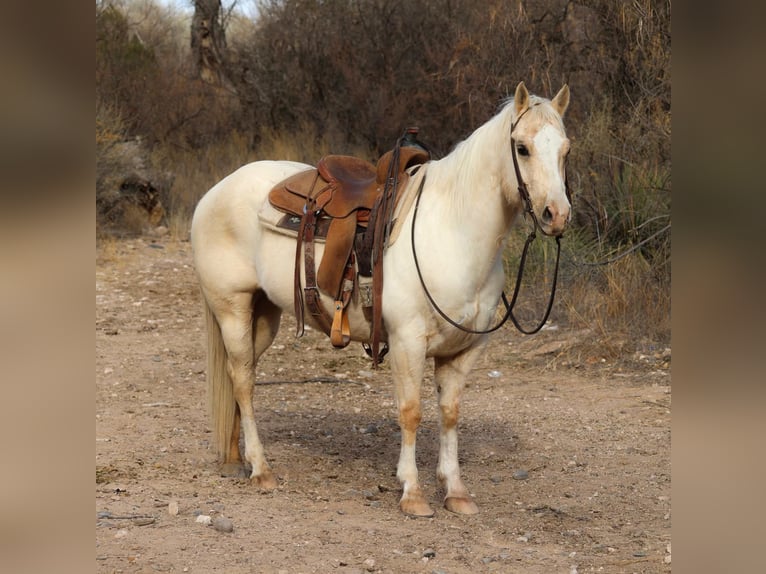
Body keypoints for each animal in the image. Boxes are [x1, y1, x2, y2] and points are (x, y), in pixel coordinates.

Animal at [190, 82, 571, 517]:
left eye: (565, 150)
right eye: (522, 148)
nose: (556, 215)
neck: (453, 231)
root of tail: (215, 191)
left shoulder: (464, 350)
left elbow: (450, 413)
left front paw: (455, 491)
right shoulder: (408, 341)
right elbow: (411, 412)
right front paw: (413, 493)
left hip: (264, 313)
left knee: (241, 376)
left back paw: (236, 459)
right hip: (232, 308)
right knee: (243, 380)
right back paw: (261, 469)